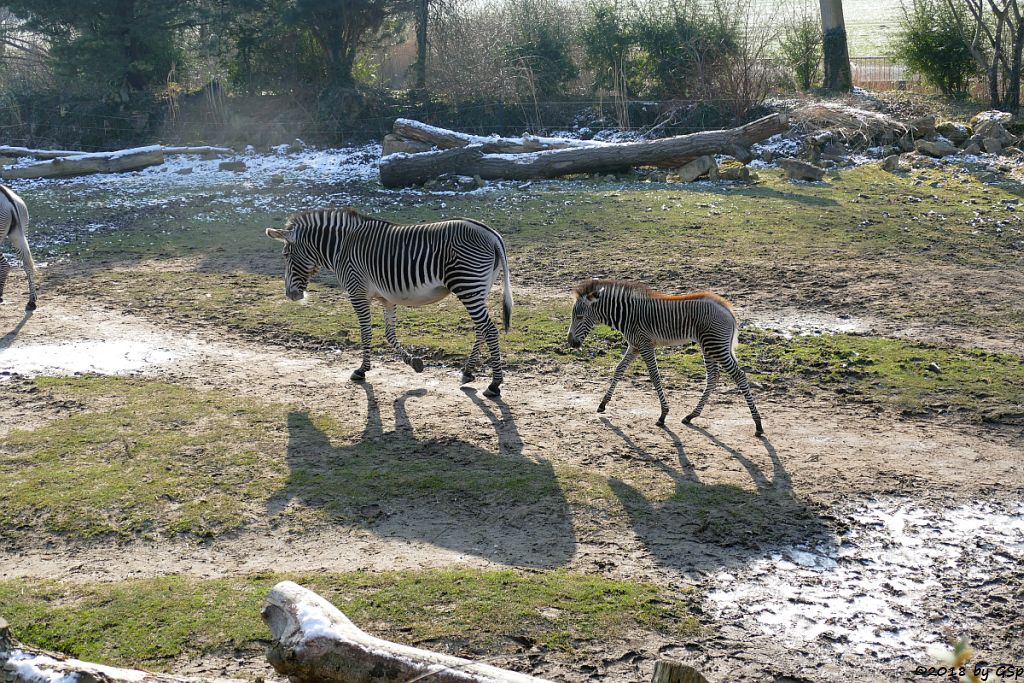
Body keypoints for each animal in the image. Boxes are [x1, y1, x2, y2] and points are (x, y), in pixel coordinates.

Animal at [268, 206, 516, 395]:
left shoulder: (357, 292)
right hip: (478, 288)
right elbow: (389, 333)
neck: (342, 247)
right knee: (481, 328)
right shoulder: (386, 298)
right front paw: (413, 362)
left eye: (286, 255)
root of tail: (492, 234)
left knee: (489, 329)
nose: (291, 295)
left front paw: (361, 370)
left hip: (468, 284)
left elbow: (366, 332)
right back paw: (467, 372)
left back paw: (494, 384)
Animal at [569, 278, 761, 436]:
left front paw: (663, 415)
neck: (628, 315)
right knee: (713, 377)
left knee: (739, 375)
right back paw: (691, 415)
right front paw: (603, 403)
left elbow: (655, 376)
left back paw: (758, 425)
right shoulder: (635, 346)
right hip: (710, 346)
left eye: (579, 317)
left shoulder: (645, 345)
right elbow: (619, 369)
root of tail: (728, 310)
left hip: (715, 346)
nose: (571, 342)